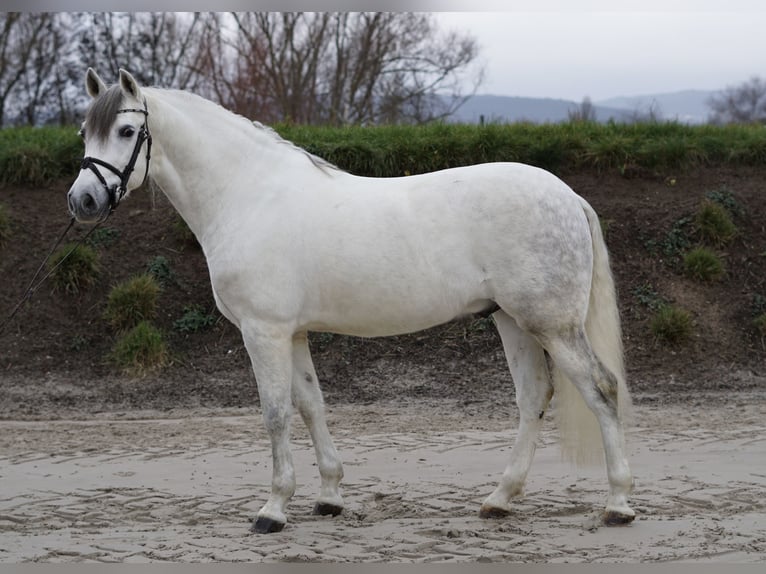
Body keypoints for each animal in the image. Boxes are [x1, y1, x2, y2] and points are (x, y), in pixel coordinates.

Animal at [67, 71, 636, 536]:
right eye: (84, 132)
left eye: (125, 131)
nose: (83, 201)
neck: (248, 196)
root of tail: (568, 197)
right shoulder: (293, 332)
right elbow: (311, 406)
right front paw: (329, 497)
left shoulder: (263, 331)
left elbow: (275, 413)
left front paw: (273, 510)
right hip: (513, 321)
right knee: (533, 396)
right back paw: (499, 499)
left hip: (552, 325)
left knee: (602, 390)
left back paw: (617, 504)